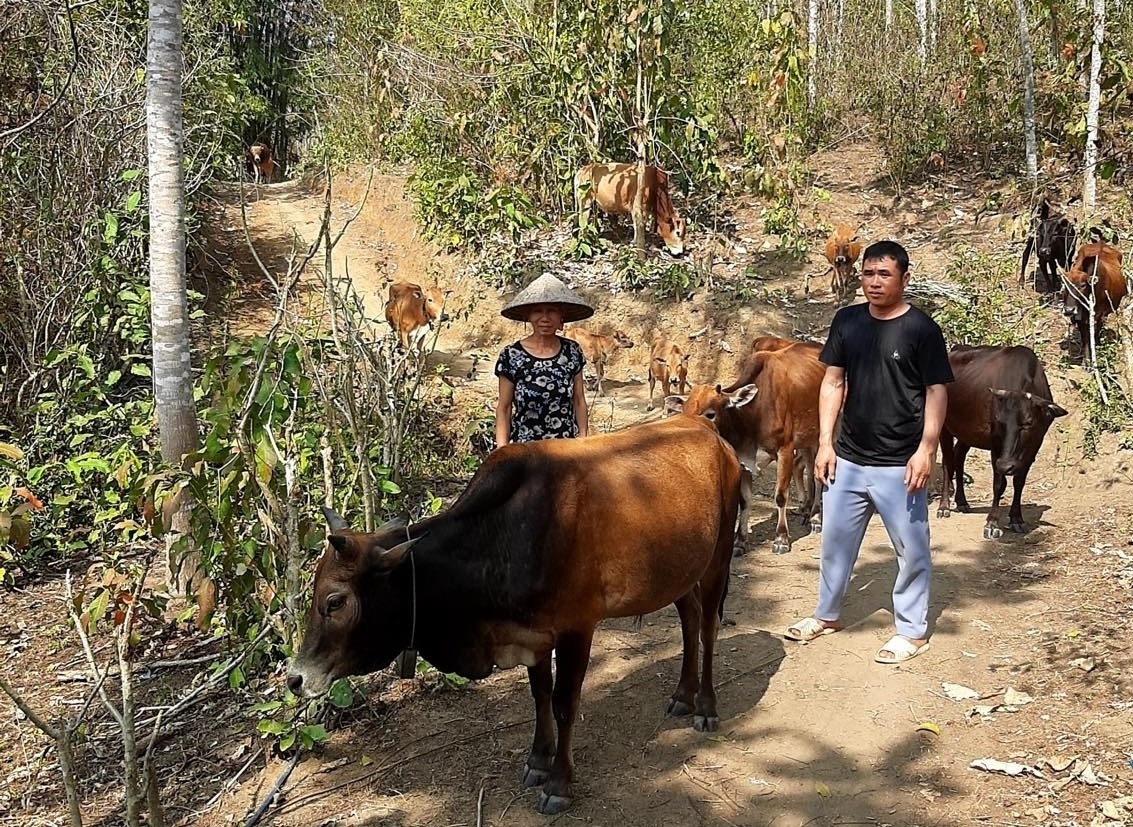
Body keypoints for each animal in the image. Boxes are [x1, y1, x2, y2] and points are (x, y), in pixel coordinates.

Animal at [287, 414, 738, 815]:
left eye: (335, 602)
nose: (296, 678)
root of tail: (708, 429)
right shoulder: (532, 634)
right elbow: (540, 696)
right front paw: (537, 761)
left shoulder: (576, 629)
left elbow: (564, 702)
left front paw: (558, 784)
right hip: (681, 571)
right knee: (690, 618)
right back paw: (682, 695)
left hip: (719, 556)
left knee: (708, 626)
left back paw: (706, 706)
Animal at [670, 342, 824, 555]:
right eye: (685, 411)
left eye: (710, 414)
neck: (751, 414)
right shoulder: (743, 461)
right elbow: (744, 501)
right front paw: (740, 541)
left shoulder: (784, 450)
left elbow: (780, 496)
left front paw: (781, 539)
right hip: (807, 441)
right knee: (807, 468)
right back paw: (806, 510)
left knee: (818, 477)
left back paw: (816, 518)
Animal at [933, 344, 1065, 536]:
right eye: (1000, 421)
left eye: (1028, 422)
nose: (1005, 465)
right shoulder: (996, 446)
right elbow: (999, 484)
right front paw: (992, 522)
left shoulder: (1033, 448)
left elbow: (1019, 482)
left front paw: (1017, 518)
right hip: (944, 427)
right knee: (947, 462)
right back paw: (944, 506)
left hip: (967, 434)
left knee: (959, 457)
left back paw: (962, 502)